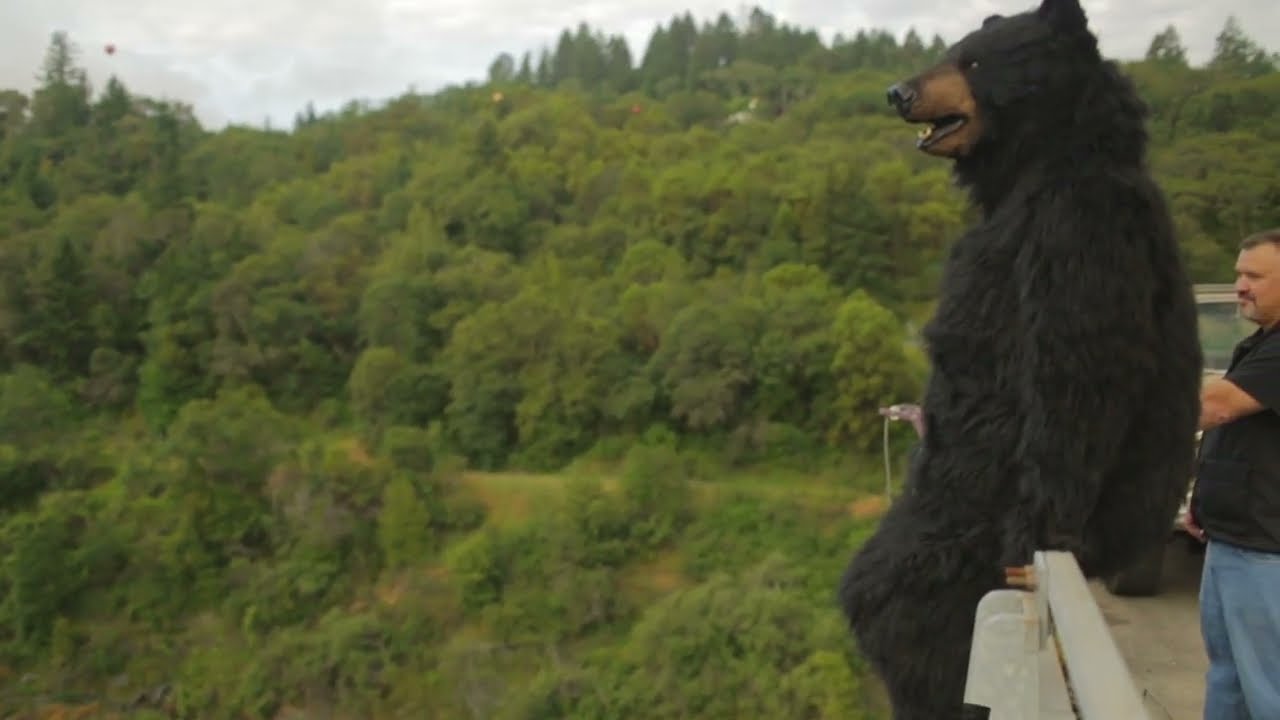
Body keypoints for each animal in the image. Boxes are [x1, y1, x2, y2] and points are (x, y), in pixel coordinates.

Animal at [836, 0, 1204, 717]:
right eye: (951, 51)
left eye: (975, 60)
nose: (897, 91)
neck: (1048, 155)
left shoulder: (1077, 230)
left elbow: (1076, 368)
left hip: (973, 505)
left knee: (919, 612)